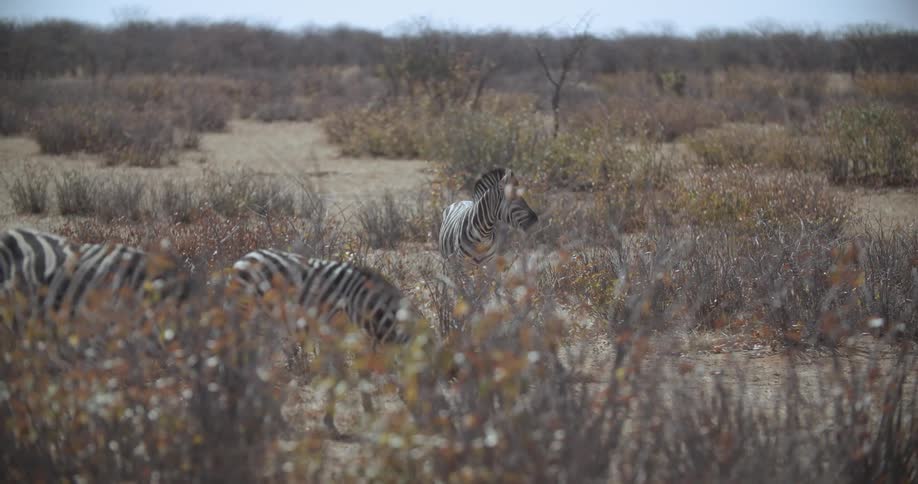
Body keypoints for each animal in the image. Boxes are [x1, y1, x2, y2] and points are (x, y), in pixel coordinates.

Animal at [232, 249, 415, 439]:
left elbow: (361, 375)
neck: (363, 307)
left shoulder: (357, 341)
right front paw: (333, 421)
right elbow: (338, 376)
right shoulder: (335, 335)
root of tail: (247, 257)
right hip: (249, 317)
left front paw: (366, 415)